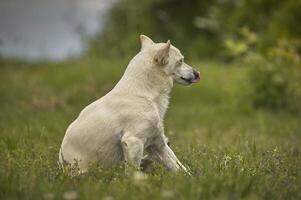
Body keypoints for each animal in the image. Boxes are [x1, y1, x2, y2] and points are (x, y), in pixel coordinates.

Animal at [58, 34, 199, 173]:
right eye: (181, 61)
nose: (198, 73)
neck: (144, 95)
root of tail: (61, 165)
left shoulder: (158, 144)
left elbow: (180, 168)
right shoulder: (133, 141)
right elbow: (133, 173)